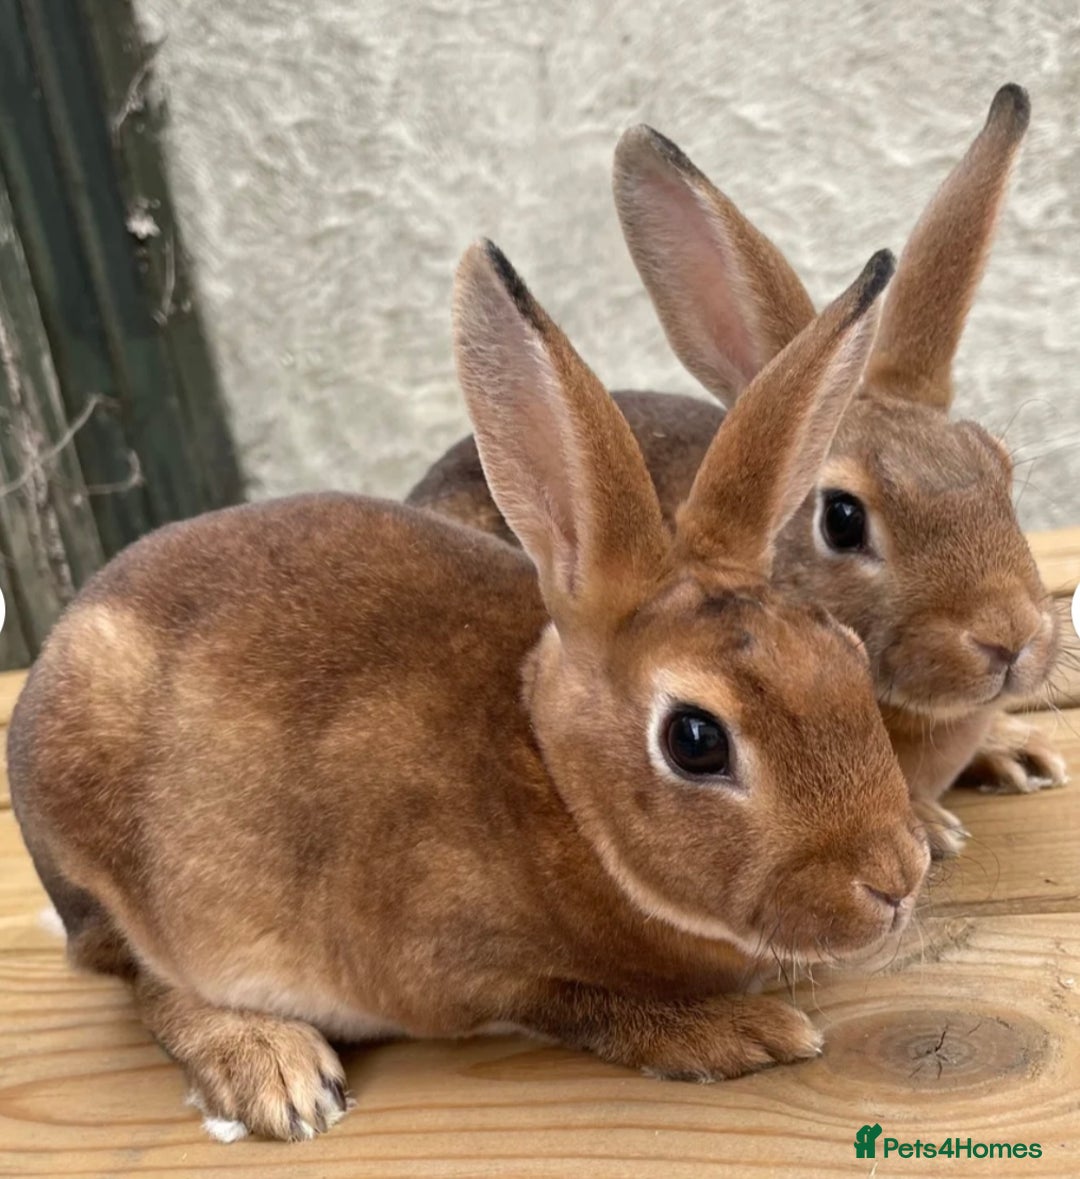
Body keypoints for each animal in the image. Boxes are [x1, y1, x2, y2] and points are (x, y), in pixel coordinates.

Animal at [8, 240, 928, 1144]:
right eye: (695, 740)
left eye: (845, 651)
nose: (897, 877)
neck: (560, 786)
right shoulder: (466, 968)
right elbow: (586, 1002)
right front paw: (743, 1032)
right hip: (113, 863)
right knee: (142, 977)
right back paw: (274, 1071)